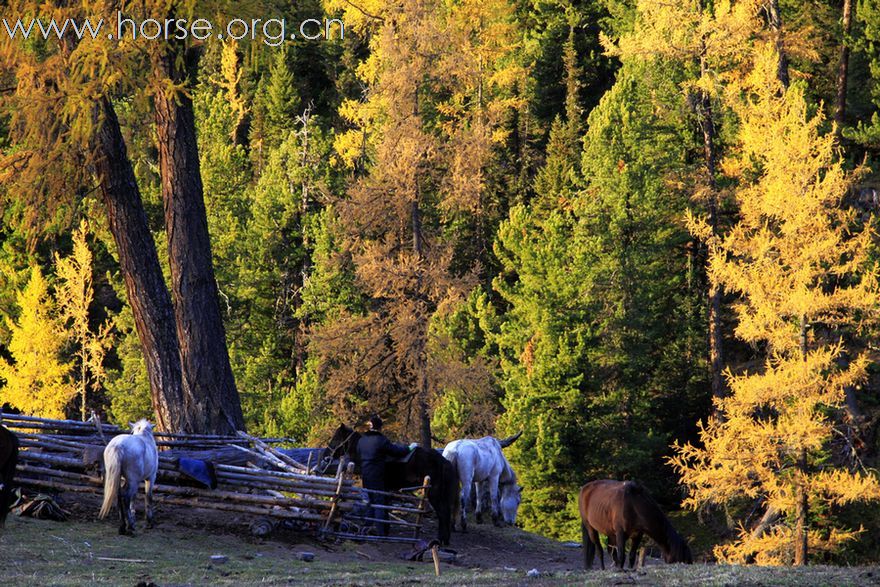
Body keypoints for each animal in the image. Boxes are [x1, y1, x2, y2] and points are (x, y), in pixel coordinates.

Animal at [324, 424, 460, 544]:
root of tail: (444, 461)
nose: (326, 457)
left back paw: (441, 539)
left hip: (435, 493)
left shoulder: (382, 489)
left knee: (443, 513)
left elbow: (382, 508)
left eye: (336, 438)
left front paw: (383, 531)